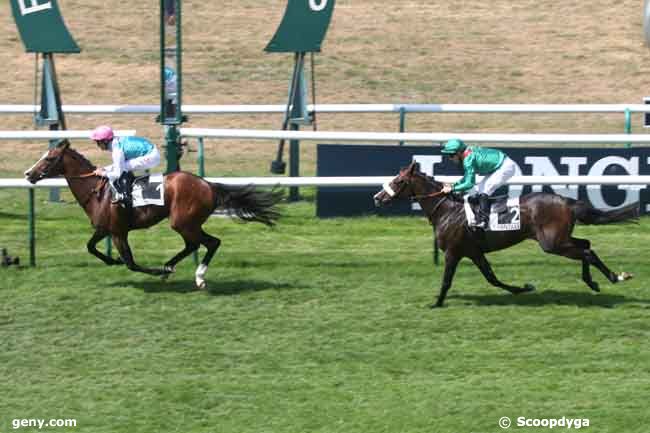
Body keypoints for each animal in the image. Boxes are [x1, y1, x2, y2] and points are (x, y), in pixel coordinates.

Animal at [23, 141, 280, 286]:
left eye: (49, 158)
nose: (28, 174)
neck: (97, 191)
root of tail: (208, 185)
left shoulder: (118, 232)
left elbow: (131, 263)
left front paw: (153, 270)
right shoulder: (104, 229)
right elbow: (91, 247)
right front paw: (113, 260)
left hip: (183, 222)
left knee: (210, 243)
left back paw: (195, 276)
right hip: (187, 224)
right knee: (195, 245)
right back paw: (171, 268)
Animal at [372, 162, 636, 308]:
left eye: (399, 181)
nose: (377, 197)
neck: (447, 210)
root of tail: (565, 201)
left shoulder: (453, 252)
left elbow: (447, 280)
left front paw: (436, 303)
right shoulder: (474, 252)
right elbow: (492, 278)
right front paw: (523, 288)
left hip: (551, 243)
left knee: (587, 251)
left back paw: (614, 277)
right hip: (560, 239)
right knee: (586, 245)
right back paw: (595, 281)